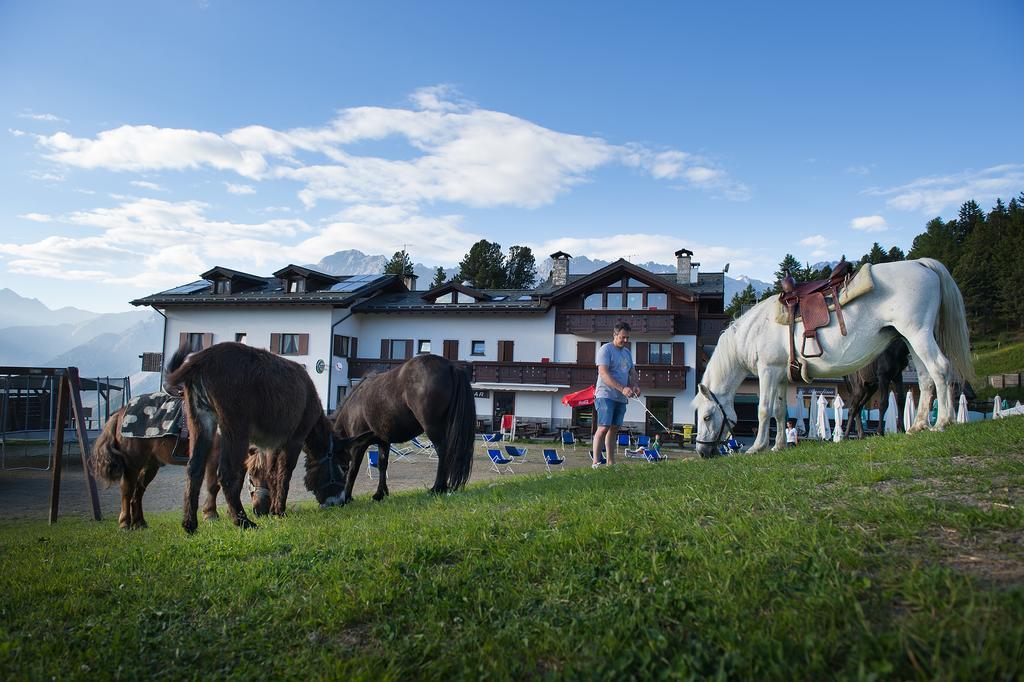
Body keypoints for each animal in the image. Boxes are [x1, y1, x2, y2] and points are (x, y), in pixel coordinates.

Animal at [165, 339, 354, 532]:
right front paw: (280, 511)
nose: (340, 503)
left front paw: (272, 510)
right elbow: (285, 473)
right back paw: (243, 522)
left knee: (194, 468)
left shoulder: (271, 445)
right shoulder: (295, 440)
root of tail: (202, 359)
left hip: (200, 421)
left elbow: (271, 473)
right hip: (235, 428)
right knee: (226, 473)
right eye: (344, 466)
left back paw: (190, 525)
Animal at [335, 352, 479, 501]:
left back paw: (438, 488)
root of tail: (450, 365)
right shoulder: (384, 441)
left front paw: (347, 497)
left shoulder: (359, 446)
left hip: (433, 429)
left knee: (443, 452)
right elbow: (382, 465)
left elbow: (353, 470)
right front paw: (380, 493)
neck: (353, 406)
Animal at [692, 254, 970, 450]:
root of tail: (921, 264)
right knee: (925, 378)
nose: (702, 452)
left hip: (918, 334)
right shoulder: (782, 375)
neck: (755, 329)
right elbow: (780, 411)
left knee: (940, 368)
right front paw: (778, 446)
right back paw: (919, 425)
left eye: (706, 417)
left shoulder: (768, 371)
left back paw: (943, 422)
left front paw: (758, 447)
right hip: (912, 340)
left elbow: (764, 409)